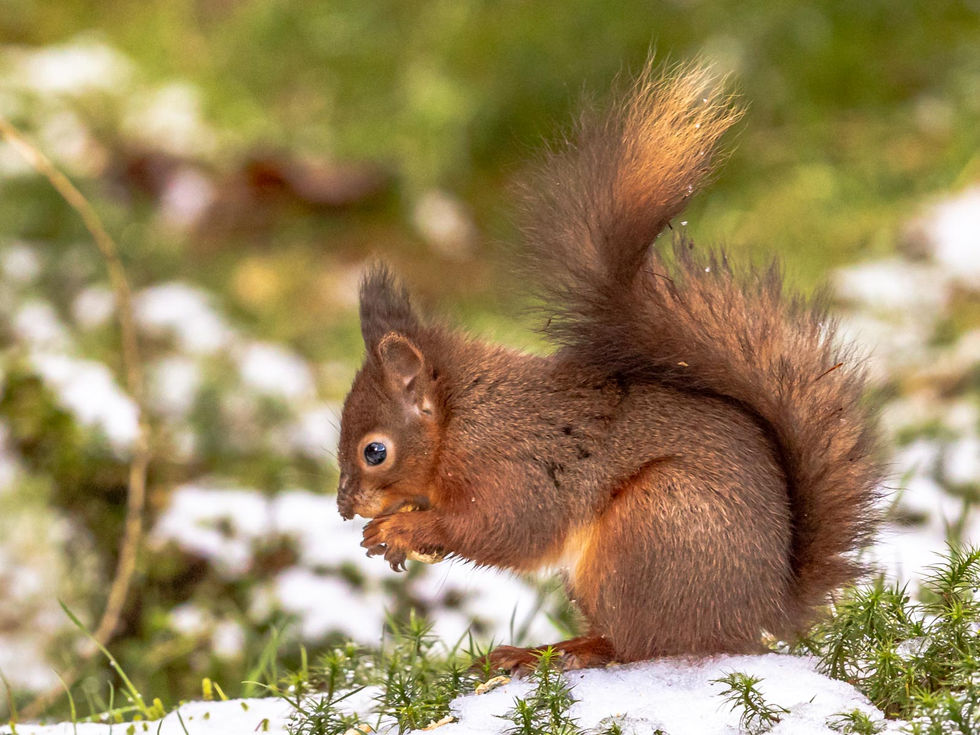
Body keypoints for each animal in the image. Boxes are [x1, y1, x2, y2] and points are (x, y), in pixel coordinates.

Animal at [335, 60, 883, 672]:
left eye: (375, 451)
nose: (344, 507)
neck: (462, 419)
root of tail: (762, 614)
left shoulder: (515, 469)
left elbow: (504, 529)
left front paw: (404, 526)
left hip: (651, 530)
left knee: (636, 645)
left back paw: (550, 651)